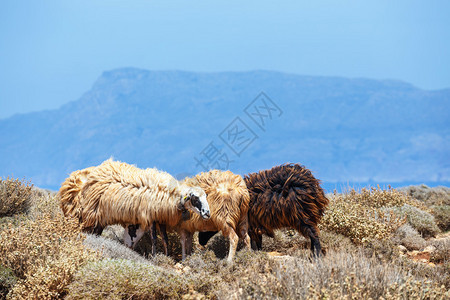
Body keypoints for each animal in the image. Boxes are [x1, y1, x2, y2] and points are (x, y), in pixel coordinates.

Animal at [199, 163, 328, 256]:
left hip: (303, 216)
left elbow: (254, 243)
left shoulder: (252, 225)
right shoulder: (255, 225)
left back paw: (317, 257)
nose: (200, 242)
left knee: (314, 235)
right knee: (313, 235)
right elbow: (258, 243)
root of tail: (312, 184)